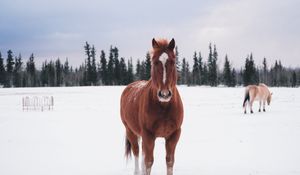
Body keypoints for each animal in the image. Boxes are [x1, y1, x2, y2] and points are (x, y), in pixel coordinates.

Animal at [120, 38, 184, 175]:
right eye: (154, 63)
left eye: (173, 62)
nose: (164, 94)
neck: (164, 107)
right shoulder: (148, 135)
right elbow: (149, 162)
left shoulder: (174, 135)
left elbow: (169, 161)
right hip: (130, 131)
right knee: (137, 152)